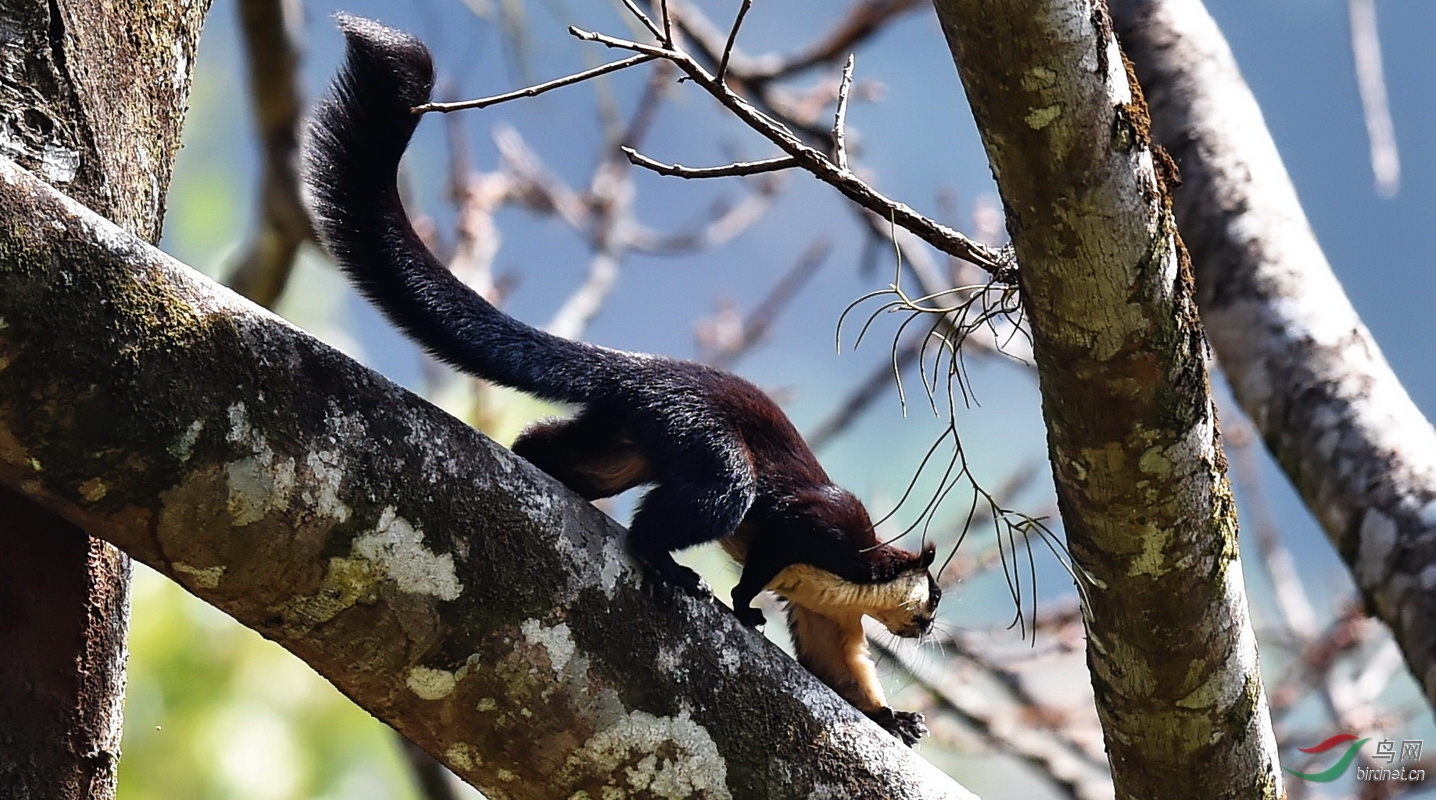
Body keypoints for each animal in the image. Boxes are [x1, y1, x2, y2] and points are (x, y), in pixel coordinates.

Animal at [302, 15, 942, 746]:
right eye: (934, 597)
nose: (931, 628)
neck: (852, 578)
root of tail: (643, 368)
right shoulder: (823, 530)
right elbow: (772, 542)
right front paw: (743, 605)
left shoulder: (826, 615)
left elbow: (842, 671)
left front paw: (898, 717)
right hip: (705, 444)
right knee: (683, 510)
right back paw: (675, 570)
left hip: (624, 444)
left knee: (557, 451)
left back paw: (537, 467)